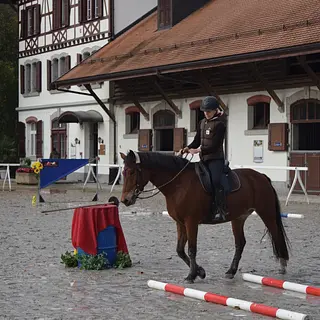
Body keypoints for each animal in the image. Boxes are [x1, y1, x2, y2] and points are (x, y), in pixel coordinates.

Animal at [119, 150, 290, 282]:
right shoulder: (180, 223)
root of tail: (260, 176)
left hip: (266, 213)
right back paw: (231, 271)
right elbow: (180, 250)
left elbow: (192, 249)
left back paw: (282, 264)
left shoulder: (191, 222)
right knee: (240, 243)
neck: (179, 184)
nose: (125, 200)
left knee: (276, 234)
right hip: (238, 218)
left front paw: (192, 275)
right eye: (123, 172)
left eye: (132, 172)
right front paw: (200, 272)